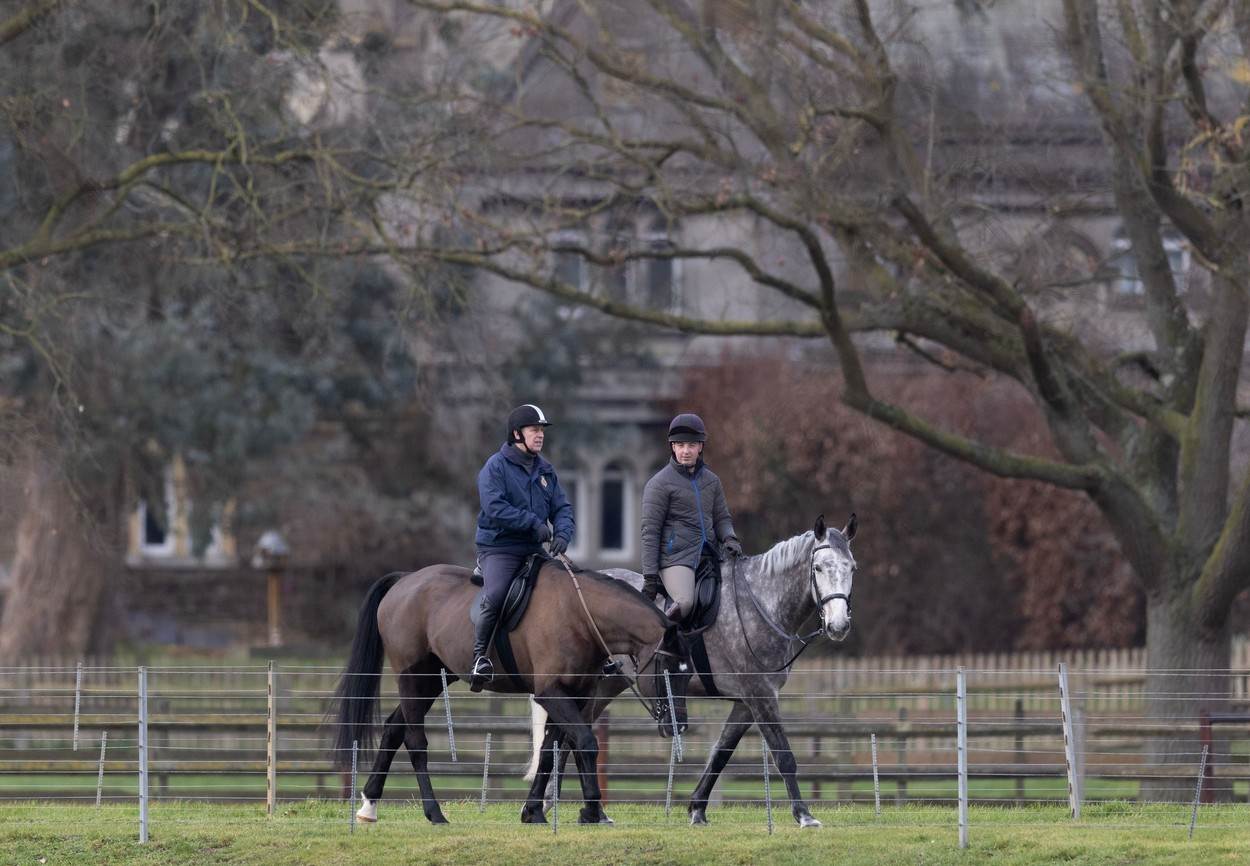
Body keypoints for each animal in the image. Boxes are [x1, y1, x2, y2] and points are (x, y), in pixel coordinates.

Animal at [327, 559, 690, 824]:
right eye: (668, 670)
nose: (679, 725)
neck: (581, 616)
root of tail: (406, 580)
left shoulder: (574, 695)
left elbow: (550, 751)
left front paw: (534, 811)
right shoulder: (552, 694)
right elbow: (585, 743)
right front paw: (590, 810)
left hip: (429, 681)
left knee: (393, 729)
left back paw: (369, 805)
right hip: (412, 679)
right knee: (415, 742)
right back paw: (434, 812)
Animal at [522, 517, 855, 829]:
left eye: (851, 568)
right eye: (819, 568)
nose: (839, 626)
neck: (763, 604)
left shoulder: (746, 703)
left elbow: (720, 753)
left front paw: (697, 809)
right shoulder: (761, 696)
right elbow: (783, 754)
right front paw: (804, 815)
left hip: (604, 687)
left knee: (570, 738)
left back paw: (588, 810)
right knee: (569, 739)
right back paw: (555, 804)